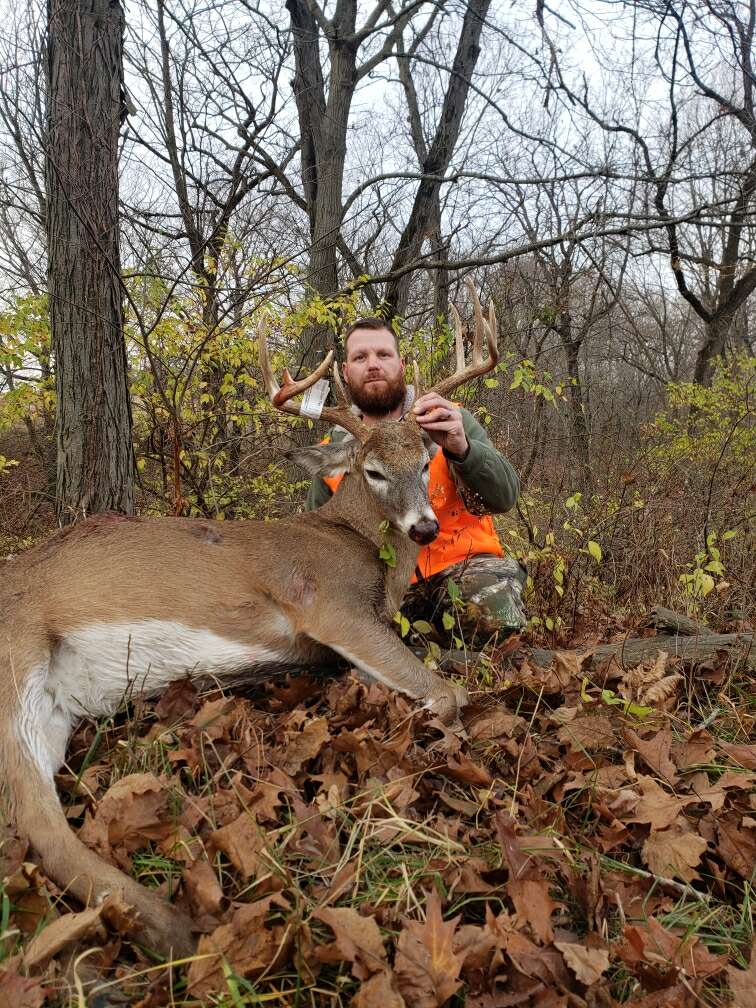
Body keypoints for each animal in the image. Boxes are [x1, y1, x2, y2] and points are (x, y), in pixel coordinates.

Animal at [0, 287, 499, 958]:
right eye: (372, 470)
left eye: (425, 461)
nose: (425, 527)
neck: (353, 541)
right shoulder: (328, 605)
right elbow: (445, 691)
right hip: (15, 659)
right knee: (34, 818)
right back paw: (171, 927)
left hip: (55, 709)